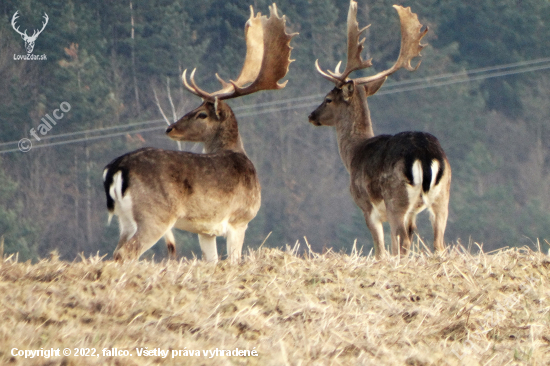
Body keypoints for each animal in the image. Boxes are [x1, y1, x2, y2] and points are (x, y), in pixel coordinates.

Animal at [103, 5, 298, 264]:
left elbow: (212, 261)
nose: (170, 128)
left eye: (201, 114)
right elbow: (233, 260)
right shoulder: (239, 219)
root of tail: (116, 168)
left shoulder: (206, 230)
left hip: (124, 219)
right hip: (155, 215)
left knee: (116, 250)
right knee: (126, 252)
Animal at [308, 0, 450, 258]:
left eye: (328, 99)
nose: (311, 116)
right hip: (442, 197)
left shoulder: (367, 206)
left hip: (396, 199)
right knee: (438, 244)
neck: (354, 154)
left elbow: (382, 250)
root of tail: (426, 155)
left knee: (404, 242)